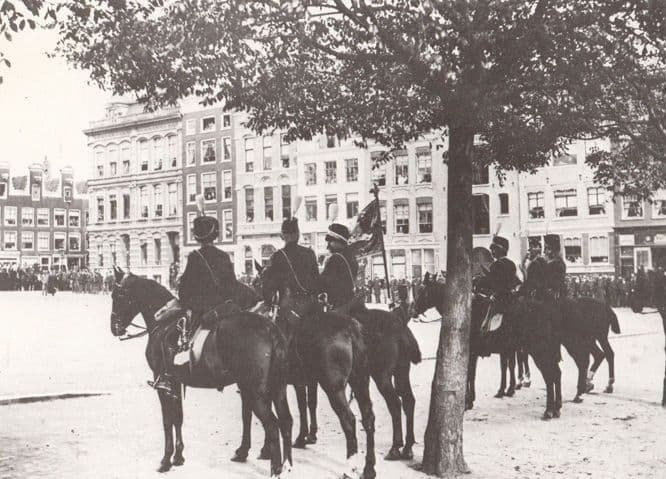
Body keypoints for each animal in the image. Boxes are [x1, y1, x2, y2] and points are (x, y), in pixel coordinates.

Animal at [110, 268, 292, 478]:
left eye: (118, 295)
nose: (114, 327)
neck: (163, 322)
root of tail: (270, 328)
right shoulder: (176, 383)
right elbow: (178, 418)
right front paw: (178, 457)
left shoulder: (162, 384)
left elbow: (167, 420)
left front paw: (166, 460)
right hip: (277, 389)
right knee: (286, 421)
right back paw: (284, 463)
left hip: (256, 393)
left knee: (272, 425)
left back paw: (275, 468)